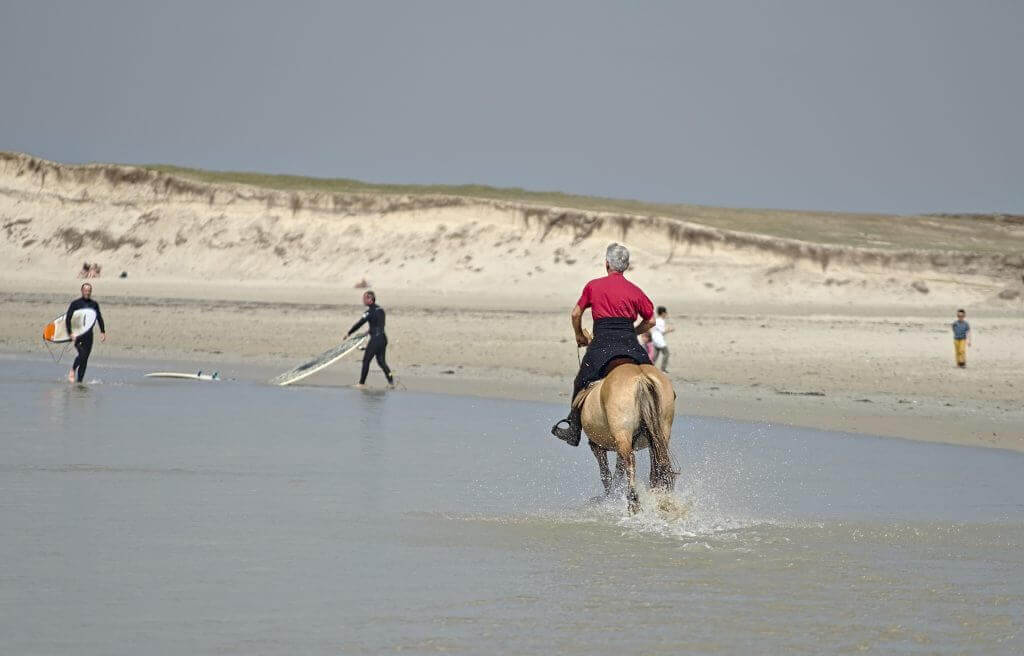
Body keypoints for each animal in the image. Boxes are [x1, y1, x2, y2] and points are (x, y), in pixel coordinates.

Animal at [577, 358, 679, 511]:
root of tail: (641, 378)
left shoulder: (597, 447)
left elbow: (606, 474)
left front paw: (609, 496)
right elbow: (618, 471)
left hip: (623, 436)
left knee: (630, 463)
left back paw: (633, 501)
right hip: (659, 436)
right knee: (657, 466)